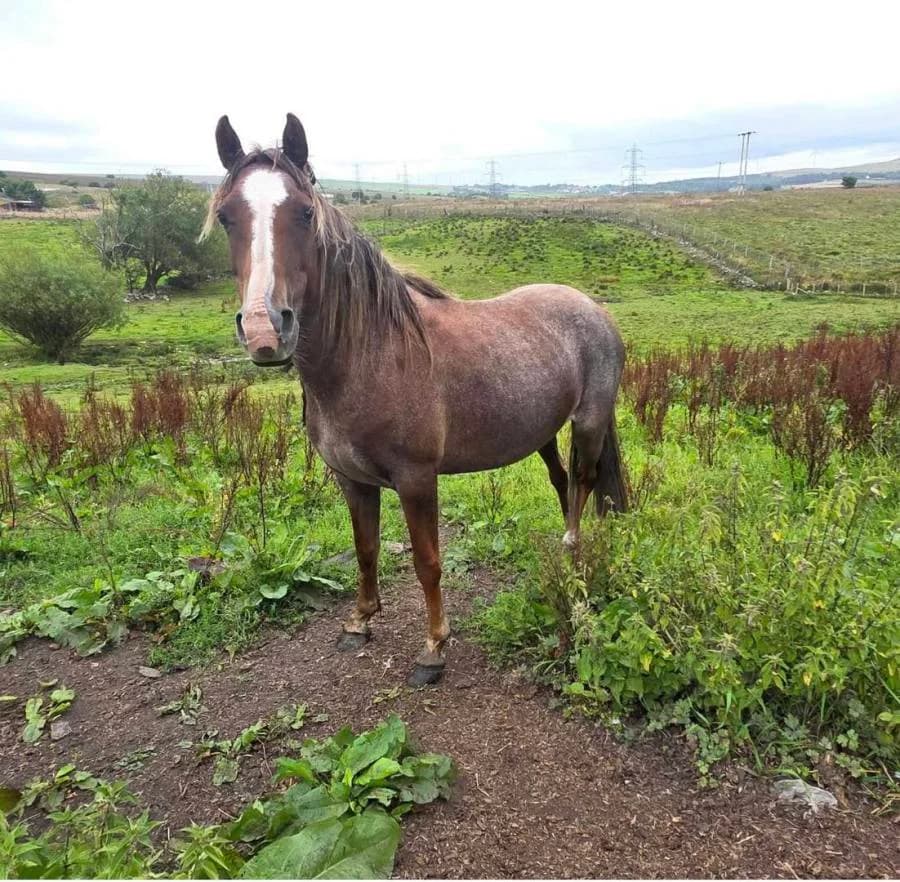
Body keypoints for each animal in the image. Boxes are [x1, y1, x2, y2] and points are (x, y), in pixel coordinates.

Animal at [204, 113, 628, 685]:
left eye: (305, 213)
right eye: (227, 217)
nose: (265, 332)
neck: (370, 356)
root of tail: (595, 309)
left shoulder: (416, 479)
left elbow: (427, 562)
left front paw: (434, 648)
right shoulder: (352, 480)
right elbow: (365, 549)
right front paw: (359, 621)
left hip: (588, 423)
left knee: (582, 482)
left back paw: (573, 550)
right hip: (542, 432)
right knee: (562, 482)